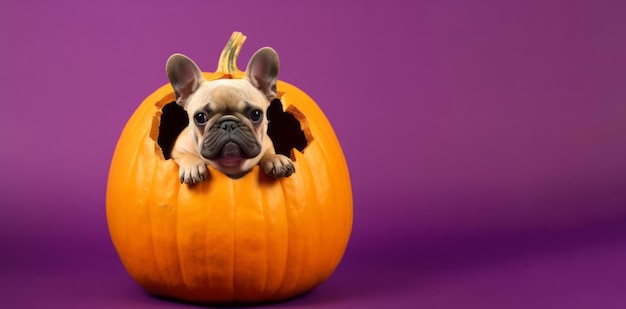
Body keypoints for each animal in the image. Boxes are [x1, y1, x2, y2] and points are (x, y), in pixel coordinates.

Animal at [165, 47, 294, 184]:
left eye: (256, 114)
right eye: (200, 117)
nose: (228, 124)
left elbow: (268, 153)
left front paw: (276, 159)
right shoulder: (177, 149)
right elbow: (186, 155)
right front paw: (192, 165)